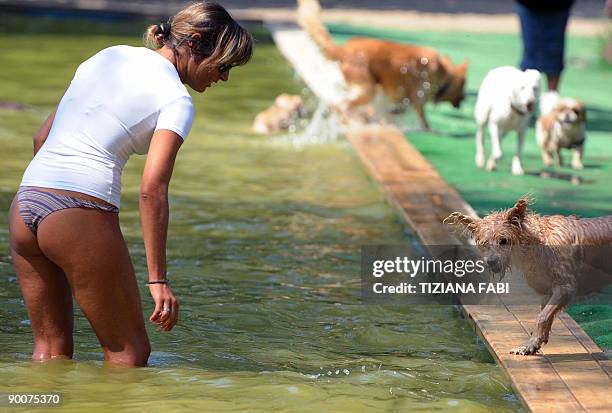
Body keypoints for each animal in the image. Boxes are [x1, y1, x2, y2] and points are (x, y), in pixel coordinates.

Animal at [296, 0, 468, 130]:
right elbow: (423, 120)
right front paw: (431, 131)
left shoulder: (399, 100)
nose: (465, 98)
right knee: (343, 105)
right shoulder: (418, 97)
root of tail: (345, 49)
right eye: (464, 87)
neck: (444, 73)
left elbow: (392, 112)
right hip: (368, 90)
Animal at [444, 197, 612, 354]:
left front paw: (530, 345)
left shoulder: (565, 287)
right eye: (484, 243)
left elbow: (542, 317)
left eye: (503, 241)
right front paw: (536, 342)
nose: (491, 262)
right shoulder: (547, 290)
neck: (539, 243)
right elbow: (545, 315)